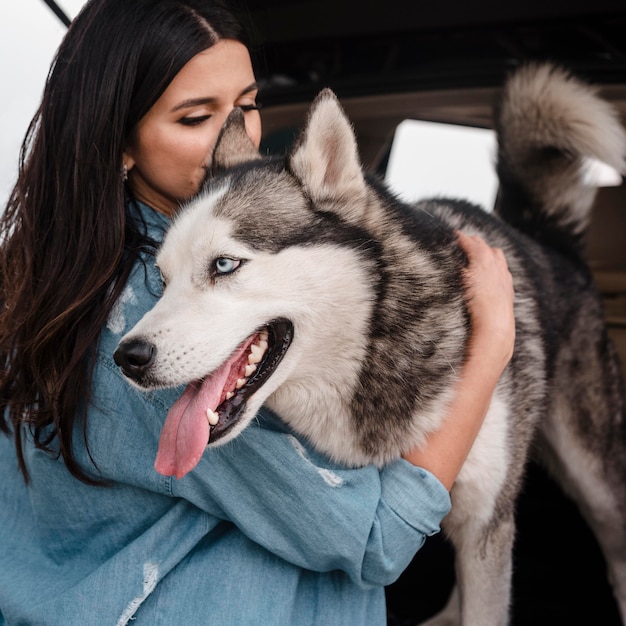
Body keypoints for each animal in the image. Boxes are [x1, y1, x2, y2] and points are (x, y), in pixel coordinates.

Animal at [114, 66, 624, 620]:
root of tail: (542, 235)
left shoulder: (486, 521)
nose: (126, 358)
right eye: (162, 280)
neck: (379, 349)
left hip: (593, 480)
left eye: (225, 264)